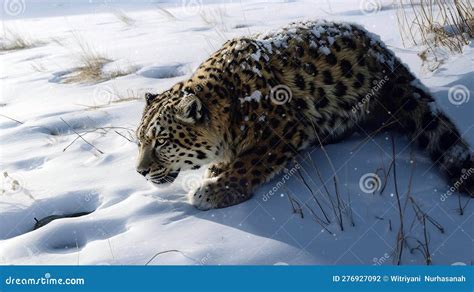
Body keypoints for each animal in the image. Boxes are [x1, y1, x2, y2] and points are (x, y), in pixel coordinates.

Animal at [135, 20, 472, 210]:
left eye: (161, 141)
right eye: (139, 141)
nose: (139, 172)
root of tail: (382, 50)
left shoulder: (283, 129)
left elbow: (250, 163)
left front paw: (217, 190)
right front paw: (216, 173)